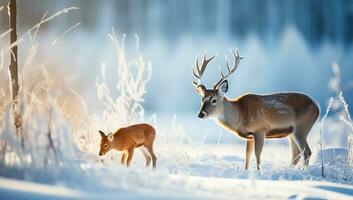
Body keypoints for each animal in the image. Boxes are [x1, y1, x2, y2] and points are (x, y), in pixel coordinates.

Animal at [192, 49, 320, 170]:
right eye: (202, 99)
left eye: (214, 100)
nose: (201, 114)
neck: (240, 114)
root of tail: (317, 105)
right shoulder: (249, 137)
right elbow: (247, 156)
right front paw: (247, 171)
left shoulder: (260, 129)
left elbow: (257, 154)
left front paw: (259, 171)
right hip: (291, 132)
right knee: (296, 154)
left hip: (302, 127)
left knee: (306, 152)